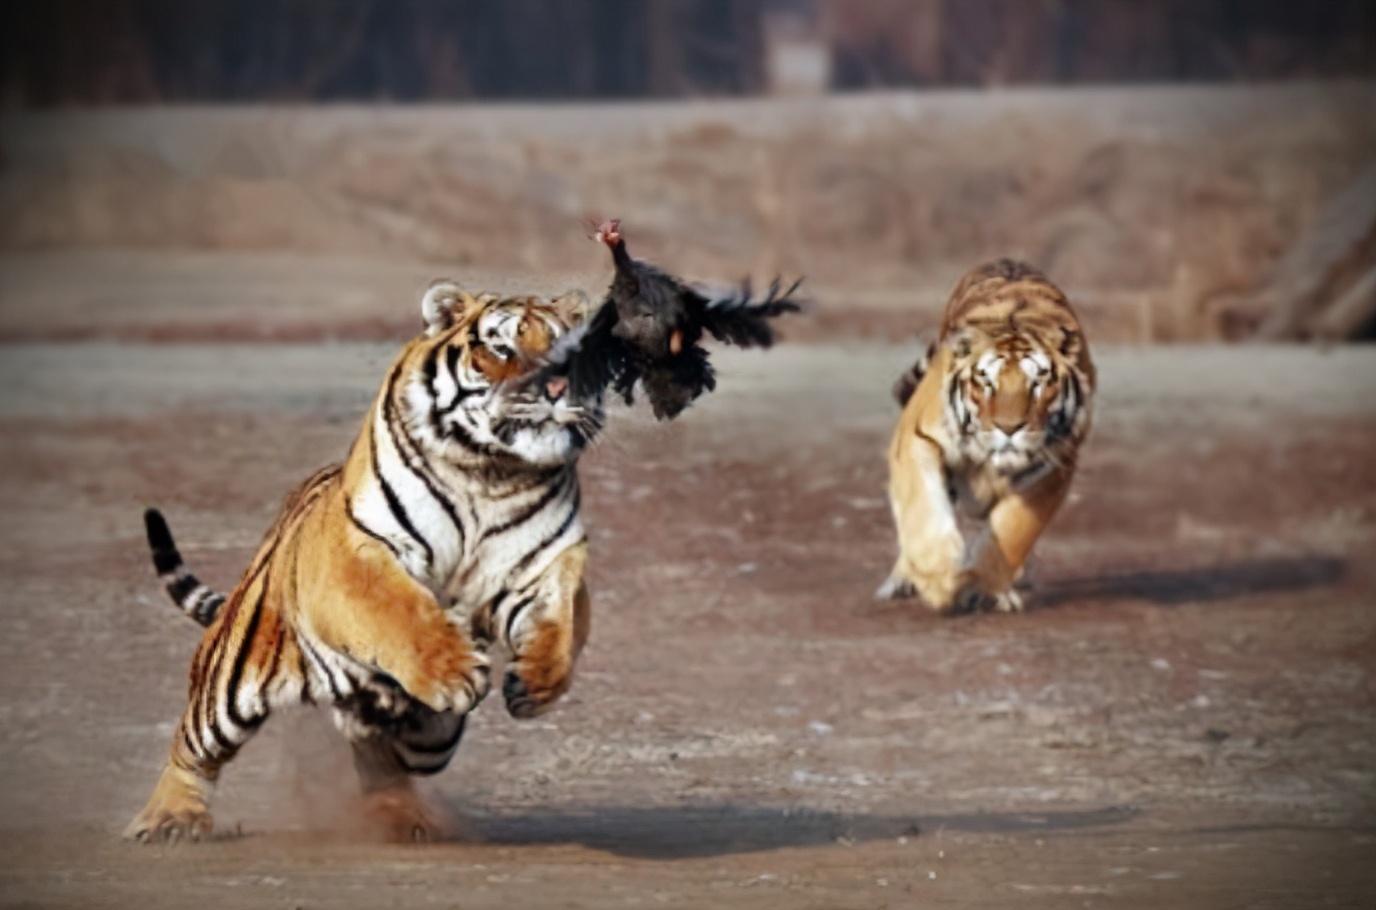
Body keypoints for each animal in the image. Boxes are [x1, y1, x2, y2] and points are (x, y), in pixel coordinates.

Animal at [126, 281, 601, 843]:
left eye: (568, 350)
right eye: (502, 348)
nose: (557, 388)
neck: (492, 472)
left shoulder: (545, 563)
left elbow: (561, 622)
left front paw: (535, 682)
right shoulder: (361, 550)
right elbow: (400, 611)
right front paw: (455, 669)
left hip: (431, 737)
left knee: (381, 756)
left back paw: (399, 816)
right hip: (231, 683)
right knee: (193, 744)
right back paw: (171, 817)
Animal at [876, 259, 1095, 614]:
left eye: (1038, 383)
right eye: (986, 382)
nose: (1009, 428)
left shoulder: (1055, 463)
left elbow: (1013, 528)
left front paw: (978, 585)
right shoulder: (919, 436)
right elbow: (923, 510)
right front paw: (940, 581)